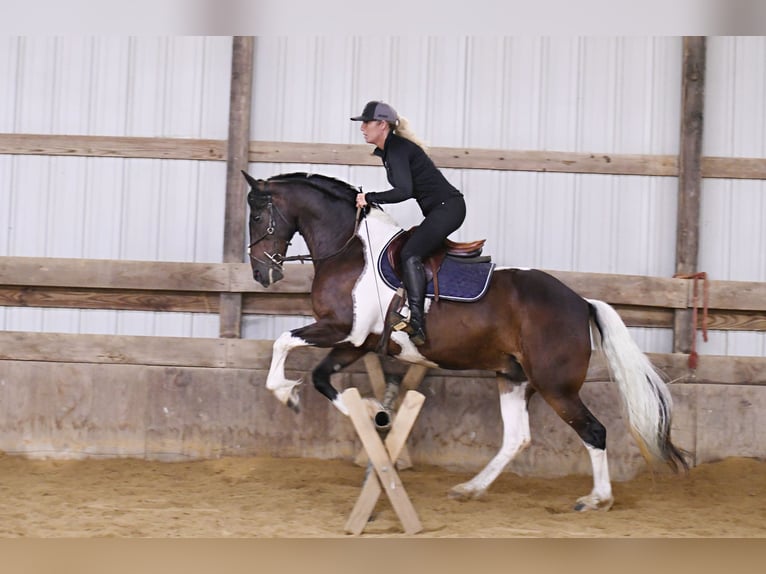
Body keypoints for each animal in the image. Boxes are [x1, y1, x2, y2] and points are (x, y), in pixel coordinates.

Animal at [243, 171, 688, 512]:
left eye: (258, 214)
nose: (262, 274)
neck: (351, 250)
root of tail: (581, 303)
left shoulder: (341, 330)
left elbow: (282, 342)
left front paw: (285, 392)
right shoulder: (355, 343)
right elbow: (321, 379)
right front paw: (373, 412)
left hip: (555, 385)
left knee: (594, 432)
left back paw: (597, 499)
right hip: (514, 377)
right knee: (517, 438)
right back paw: (471, 488)